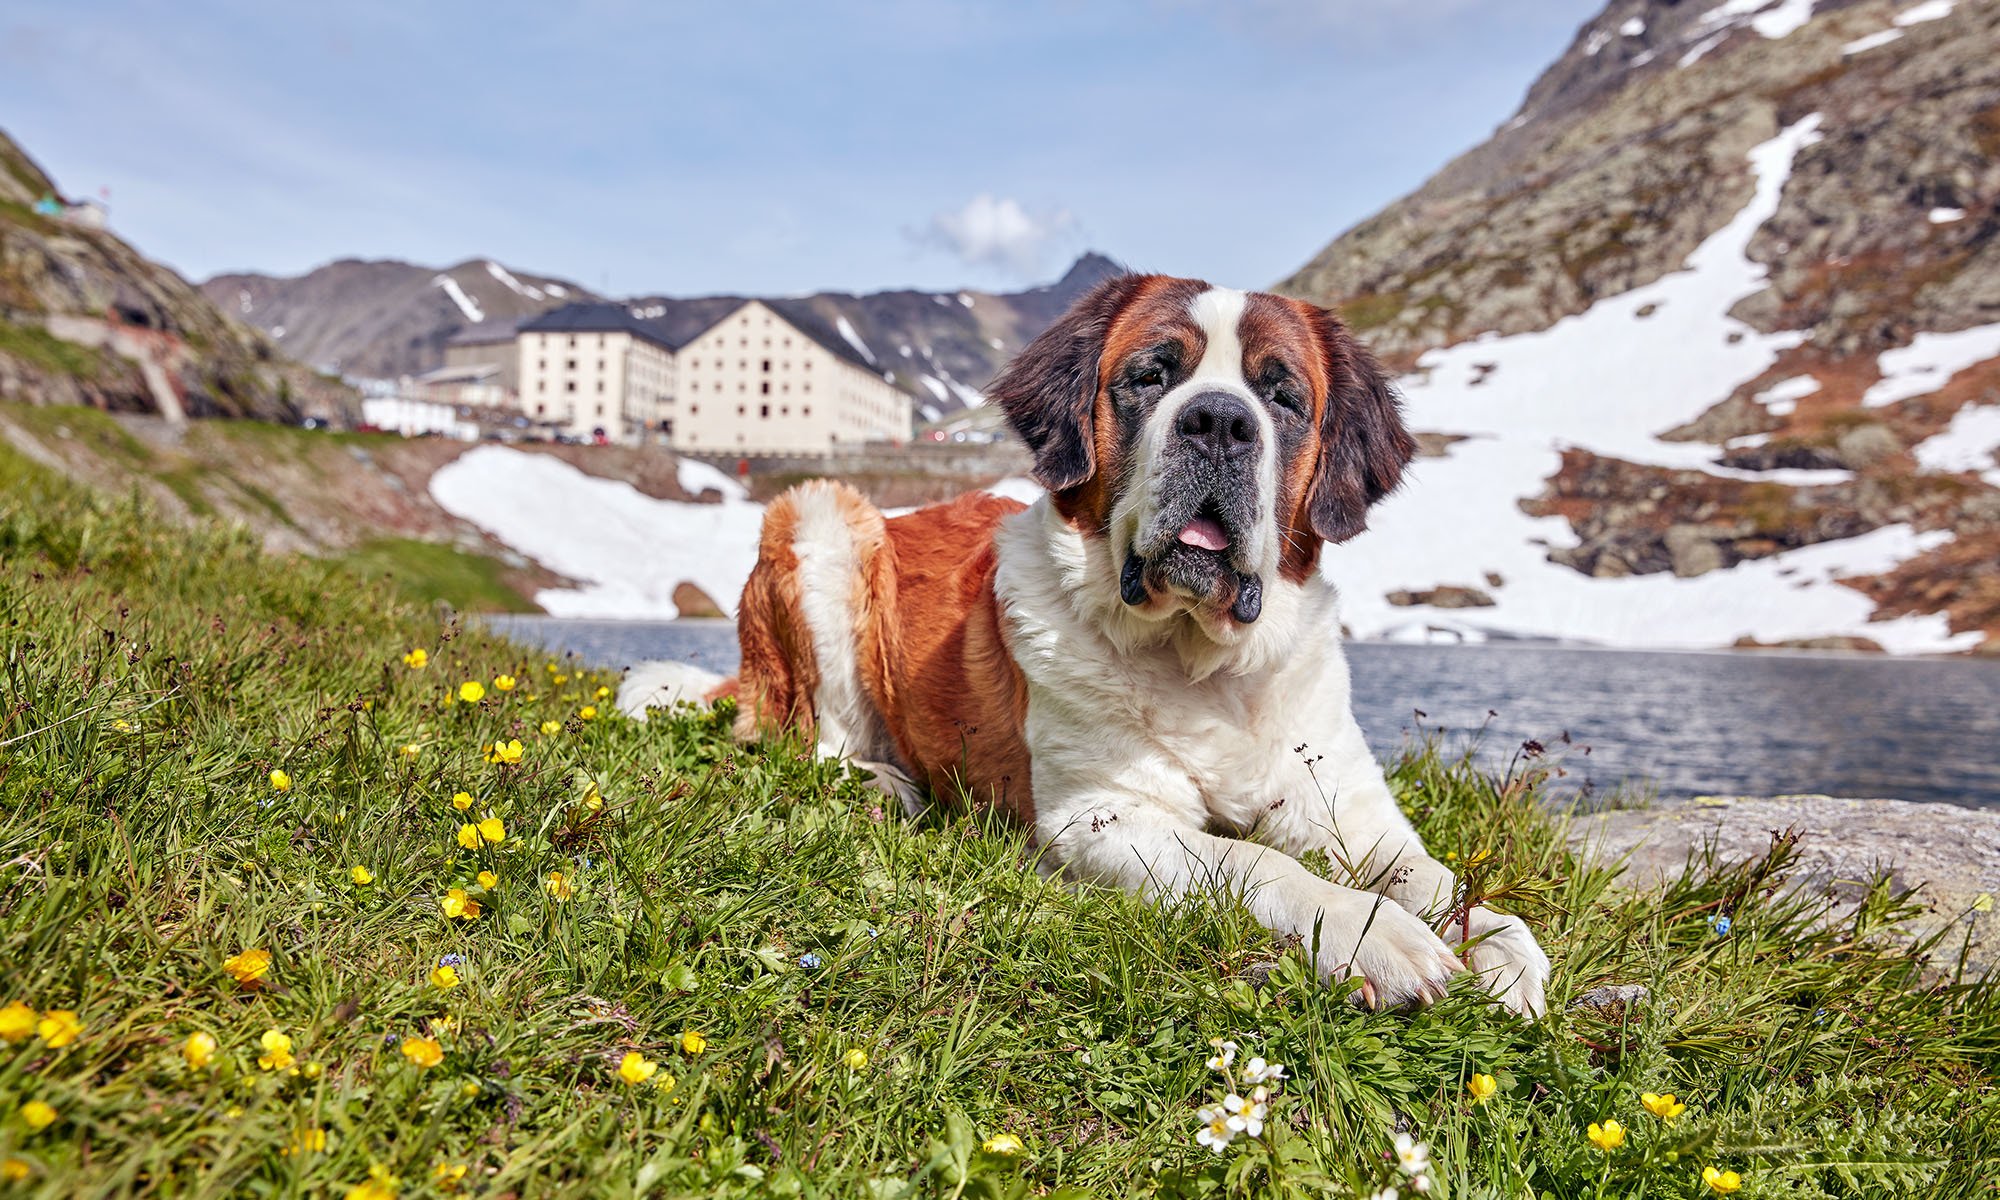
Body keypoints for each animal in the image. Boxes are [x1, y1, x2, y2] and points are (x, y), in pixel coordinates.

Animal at [616, 276, 1552, 1016]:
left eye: (1282, 398)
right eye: (1151, 376)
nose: (1219, 423)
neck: (1206, 668)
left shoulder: (1350, 812)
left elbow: (1427, 874)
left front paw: (1500, 945)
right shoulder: (1100, 817)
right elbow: (1250, 860)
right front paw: (1376, 937)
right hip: (820, 517)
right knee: (808, 742)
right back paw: (885, 783)